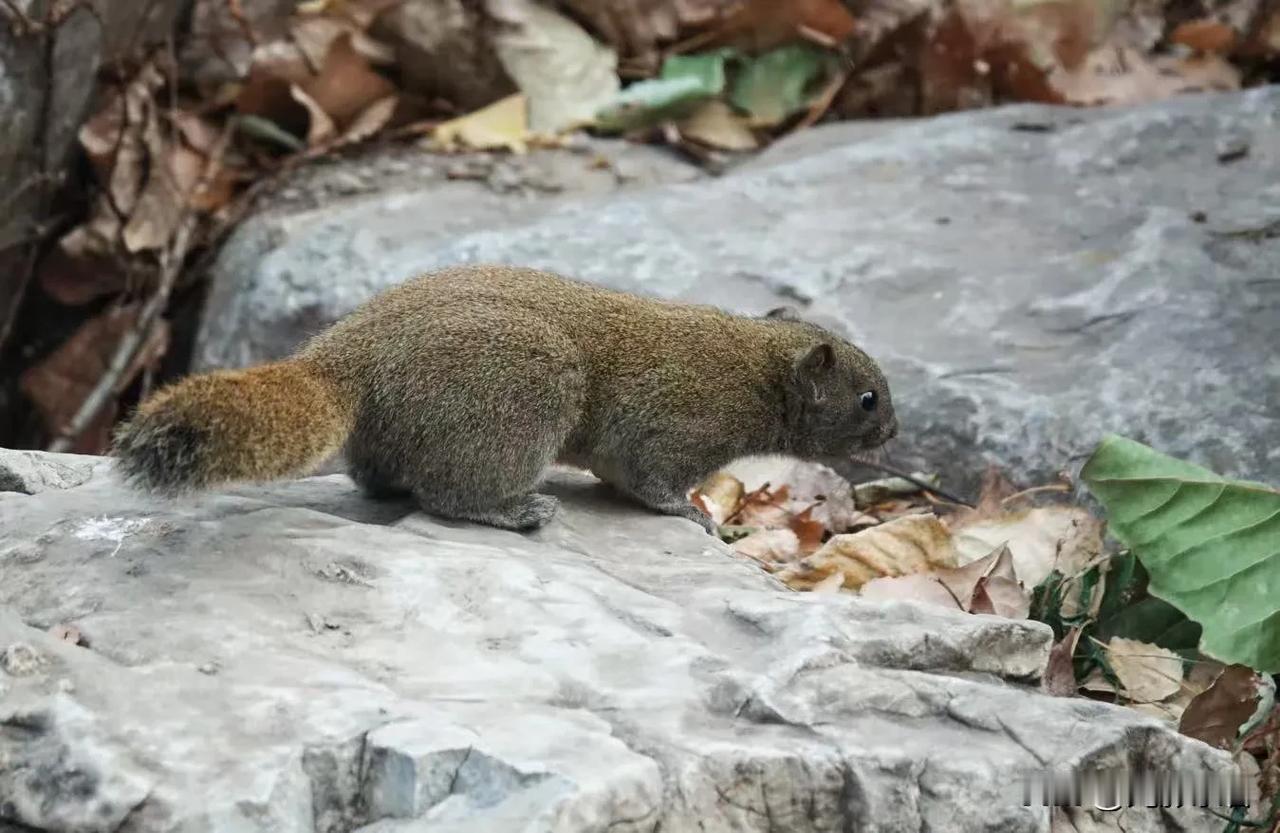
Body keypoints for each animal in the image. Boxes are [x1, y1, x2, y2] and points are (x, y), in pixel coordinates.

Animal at [117, 263, 901, 532]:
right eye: (867, 398)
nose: (893, 432)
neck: (757, 367)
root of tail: (344, 355)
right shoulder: (676, 424)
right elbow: (650, 480)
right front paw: (695, 512)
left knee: (379, 477)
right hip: (525, 388)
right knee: (447, 494)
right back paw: (516, 510)